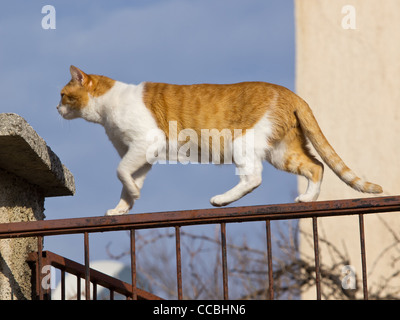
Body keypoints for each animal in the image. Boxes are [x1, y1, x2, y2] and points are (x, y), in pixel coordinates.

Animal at [56, 64, 382, 215]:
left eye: (62, 95)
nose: (55, 108)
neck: (109, 106)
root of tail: (289, 92)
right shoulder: (143, 156)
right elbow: (127, 180)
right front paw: (123, 207)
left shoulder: (145, 143)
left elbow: (121, 170)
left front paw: (133, 195)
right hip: (282, 152)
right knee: (316, 166)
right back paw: (307, 198)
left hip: (242, 142)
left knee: (254, 178)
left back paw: (221, 199)